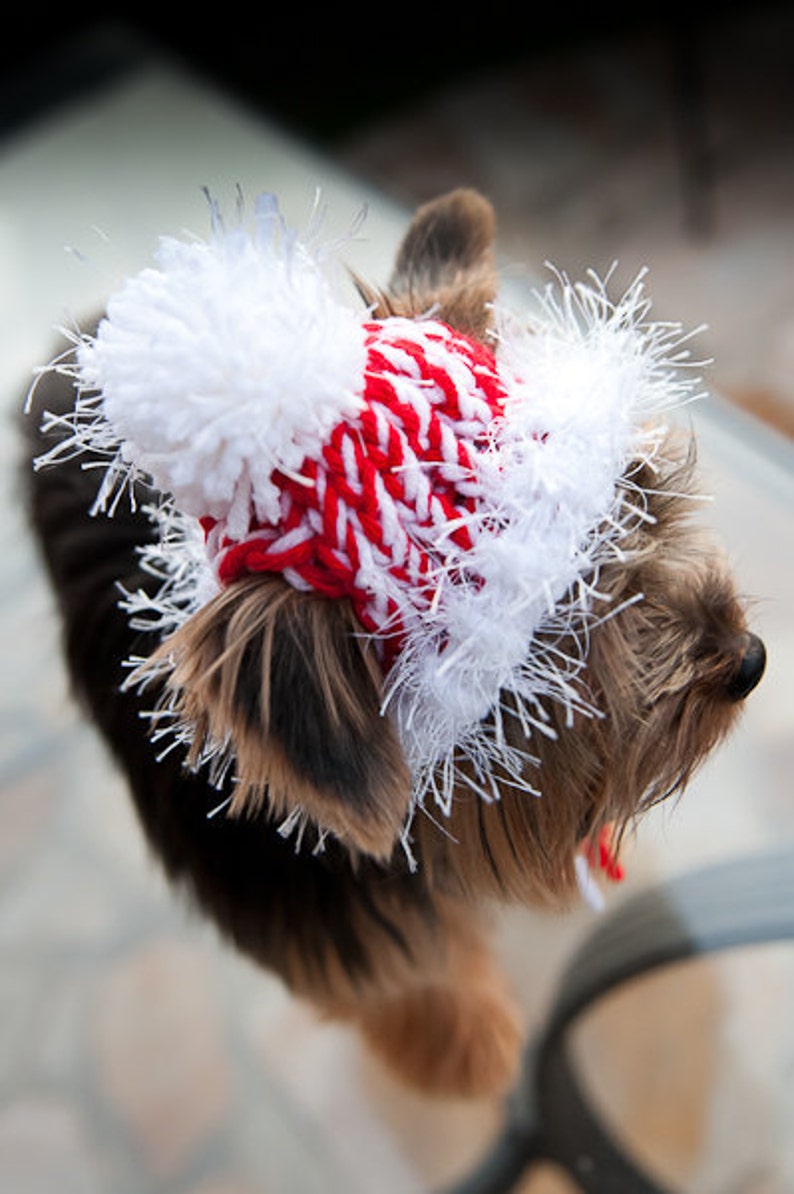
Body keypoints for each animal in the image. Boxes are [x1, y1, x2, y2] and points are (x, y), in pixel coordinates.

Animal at [20, 188, 764, 1098]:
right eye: (556, 646)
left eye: (642, 490)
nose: (749, 660)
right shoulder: (325, 924)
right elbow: (409, 976)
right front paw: (469, 1046)